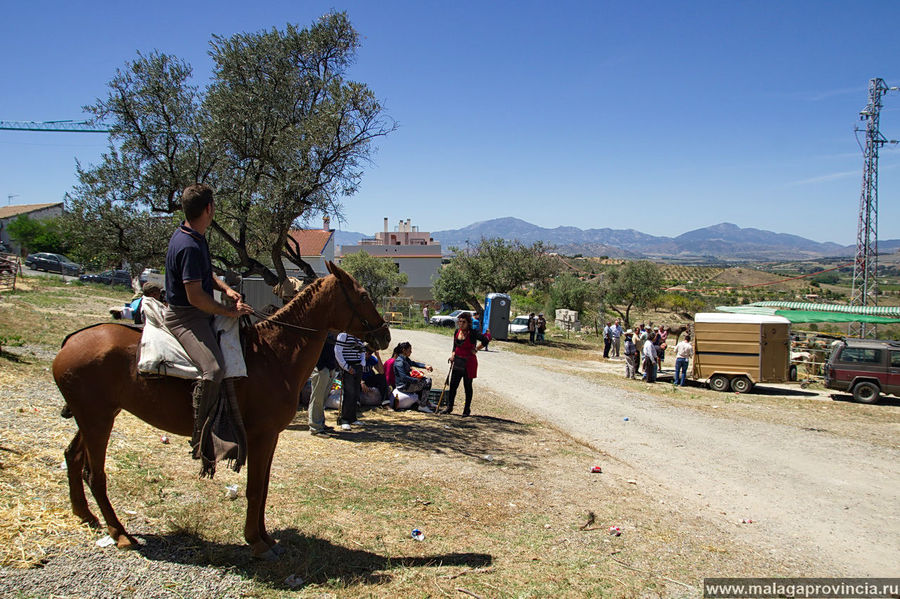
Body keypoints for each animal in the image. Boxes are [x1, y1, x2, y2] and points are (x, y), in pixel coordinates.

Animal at [51, 264, 390, 560]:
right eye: (362, 295)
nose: (385, 335)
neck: (274, 353)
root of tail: (71, 341)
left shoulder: (269, 438)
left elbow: (263, 487)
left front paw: (266, 537)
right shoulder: (260, 436)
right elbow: (254, 489)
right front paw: (256, 542)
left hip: (96, 417)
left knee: (73, 457)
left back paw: (85, 515)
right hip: (97, 420)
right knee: (95, 475)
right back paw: (119, 533)